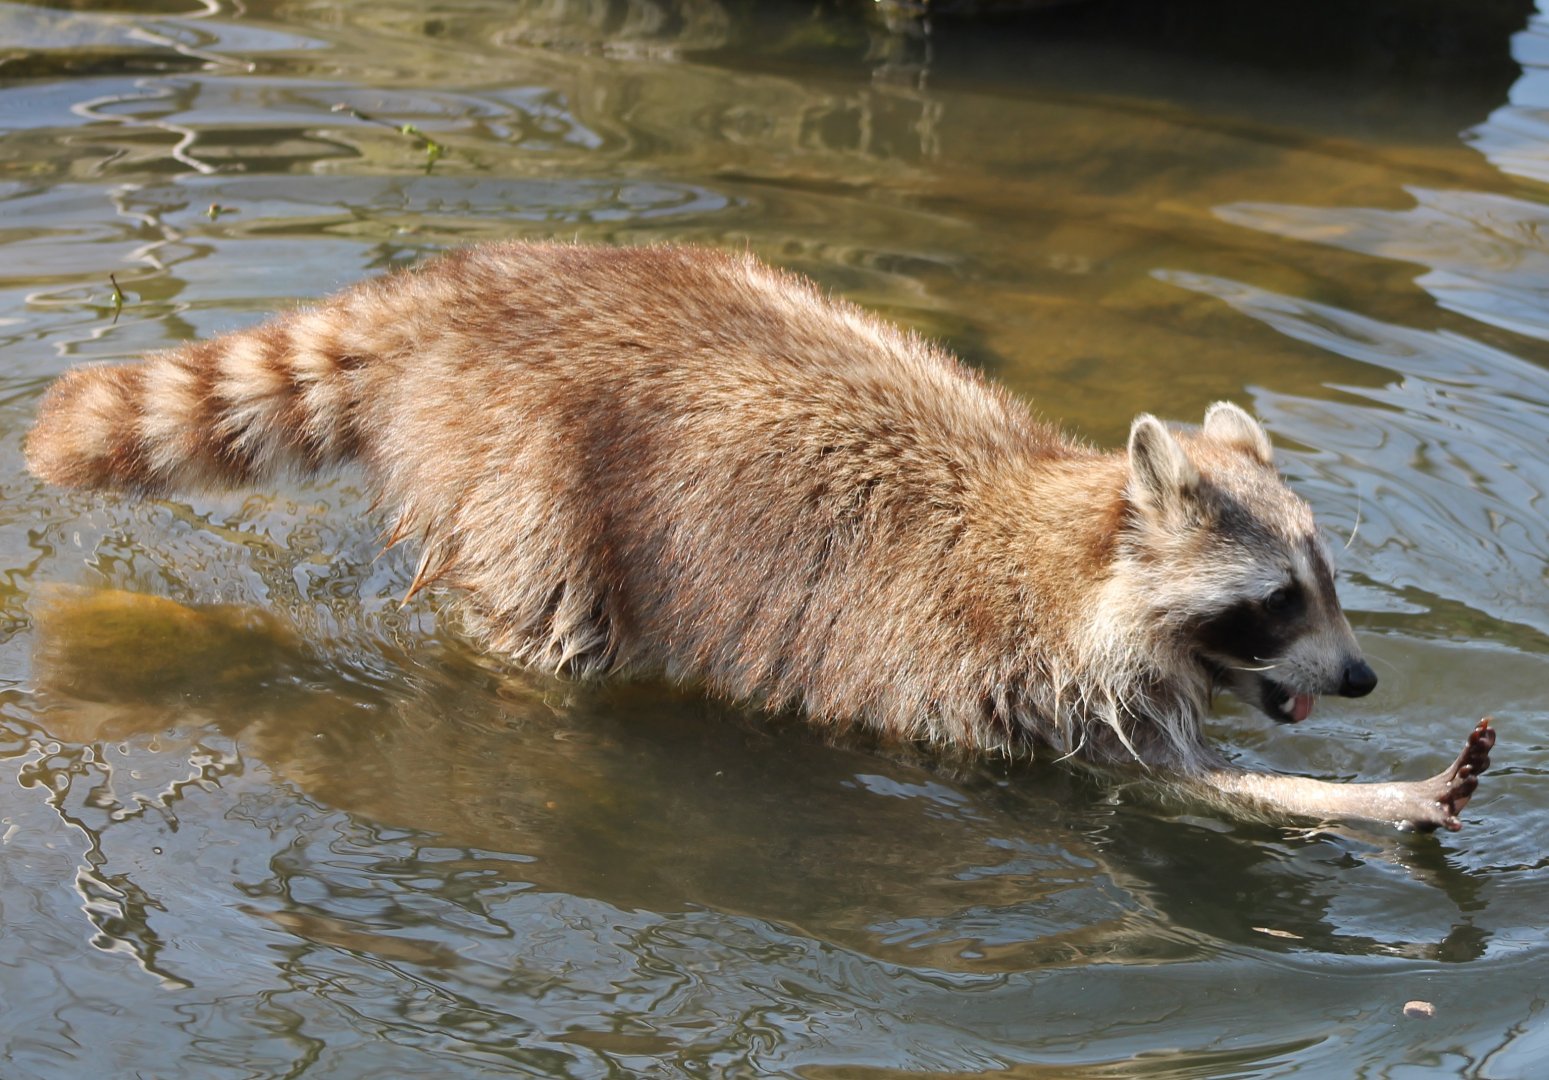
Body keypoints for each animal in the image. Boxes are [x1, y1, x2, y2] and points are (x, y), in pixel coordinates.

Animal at [25, 242, 1493, 831]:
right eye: (1279, 602)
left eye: (1329, 586)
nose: (1361, 678)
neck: (1070, 539)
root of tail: (468, 291)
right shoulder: (986, 681)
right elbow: (1181, 794)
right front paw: (1378, 797)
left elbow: (1202, 787)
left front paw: (1371, 790)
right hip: (530, 484)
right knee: (542, 629)